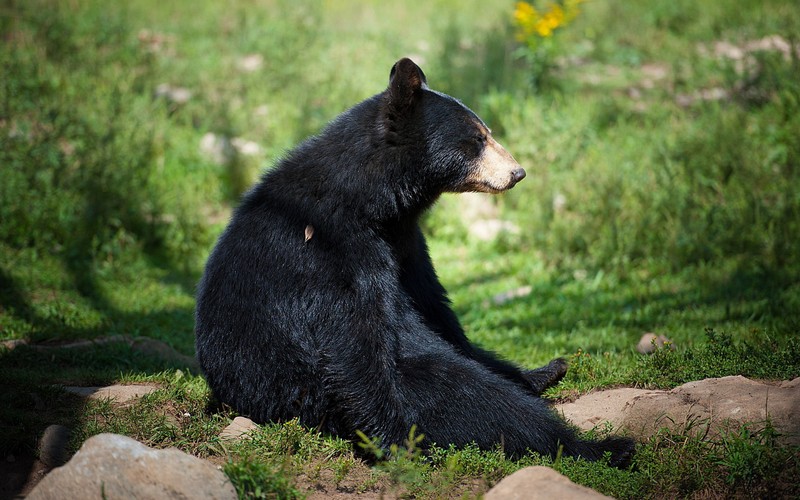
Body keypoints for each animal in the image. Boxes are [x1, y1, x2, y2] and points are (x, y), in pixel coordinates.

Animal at [197, 59, 636, 468]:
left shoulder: (405, 242)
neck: (371, 201)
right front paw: (395, 444)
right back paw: (603, 446)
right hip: (303, 392)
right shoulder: (329, 251)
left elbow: (433, 307)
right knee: (473, 397)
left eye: (487, 132)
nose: (517, 172)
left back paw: (546, 371)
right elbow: (353, 342)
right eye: (478, 139)